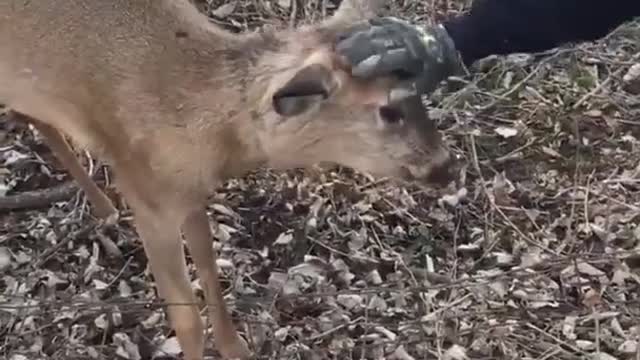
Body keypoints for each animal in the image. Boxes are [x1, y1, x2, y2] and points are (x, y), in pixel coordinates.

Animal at [1, 0, 460, 358]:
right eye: (388, 111)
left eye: (417, 89)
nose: (446, 166)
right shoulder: (148, 198)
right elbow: (186, 320)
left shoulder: (189, 193)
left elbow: (209, 266)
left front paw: (235, 346)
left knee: (30, 114)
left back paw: (102, 205)